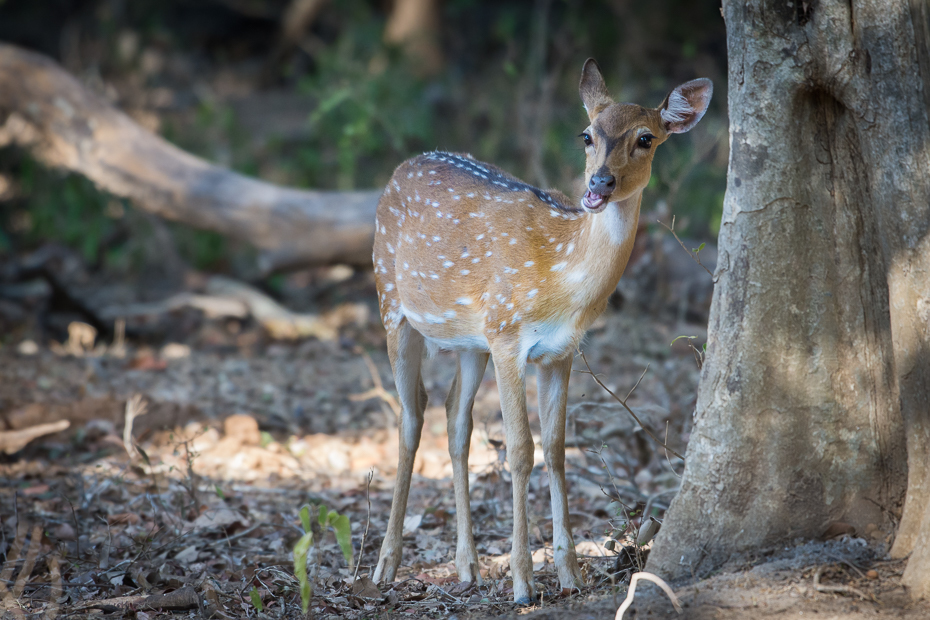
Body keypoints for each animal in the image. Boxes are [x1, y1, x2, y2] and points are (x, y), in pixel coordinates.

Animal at [366, 60, 708, 604]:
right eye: (587, 134)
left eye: (646, 138)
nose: (600, 183)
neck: (561, 279)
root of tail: (403, 166)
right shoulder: (509, 335)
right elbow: (521, 450)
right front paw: (524, 583)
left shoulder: (559, 350)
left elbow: (556, 448)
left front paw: (569, 575)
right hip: (392, 303)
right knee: (411, 416)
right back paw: (386, 566)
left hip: (471, 340)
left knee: (454, 417)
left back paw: (468, 566)